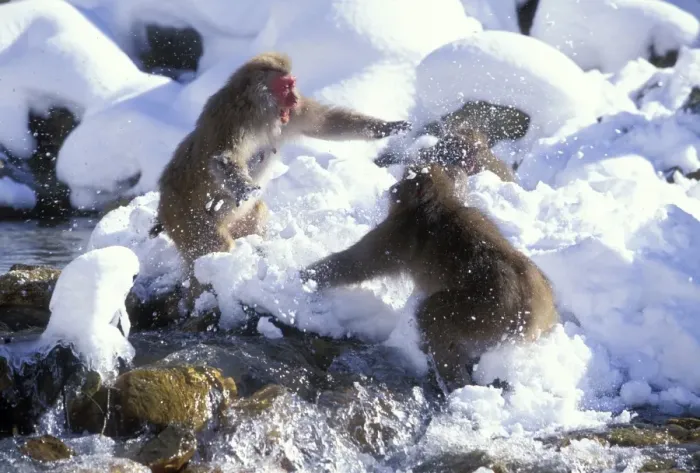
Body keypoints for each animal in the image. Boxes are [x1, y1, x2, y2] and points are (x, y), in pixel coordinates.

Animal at [152, 52, 410, 307]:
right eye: (285, 86)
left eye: (292, 85)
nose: (294, 98)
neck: (258, 108)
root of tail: (163, 205)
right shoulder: (232, 118)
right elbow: (223, 158)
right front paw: (244, 188)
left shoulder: (290, 116)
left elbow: (325, 124)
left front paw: (388, 127)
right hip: (184, 219)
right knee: (215, 246)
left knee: (257, 214)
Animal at [300, 160, 557, 391]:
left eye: (405, 180)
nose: (392, 188)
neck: (439, 202)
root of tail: (537, 310)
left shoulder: (398, 233)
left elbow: (359, 262)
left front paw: (307, 277)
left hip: (485, 312)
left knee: (433, 314)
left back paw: (452, 382)